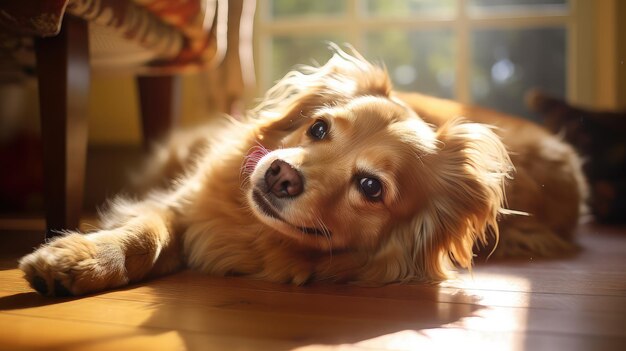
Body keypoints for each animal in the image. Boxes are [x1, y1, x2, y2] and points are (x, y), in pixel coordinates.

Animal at [19, 47, 584, 296]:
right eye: (318, 128)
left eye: (370, 186)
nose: (278, 174)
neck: (248, 232)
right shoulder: (183, 207)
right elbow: (144, 232)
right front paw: (81, 257)